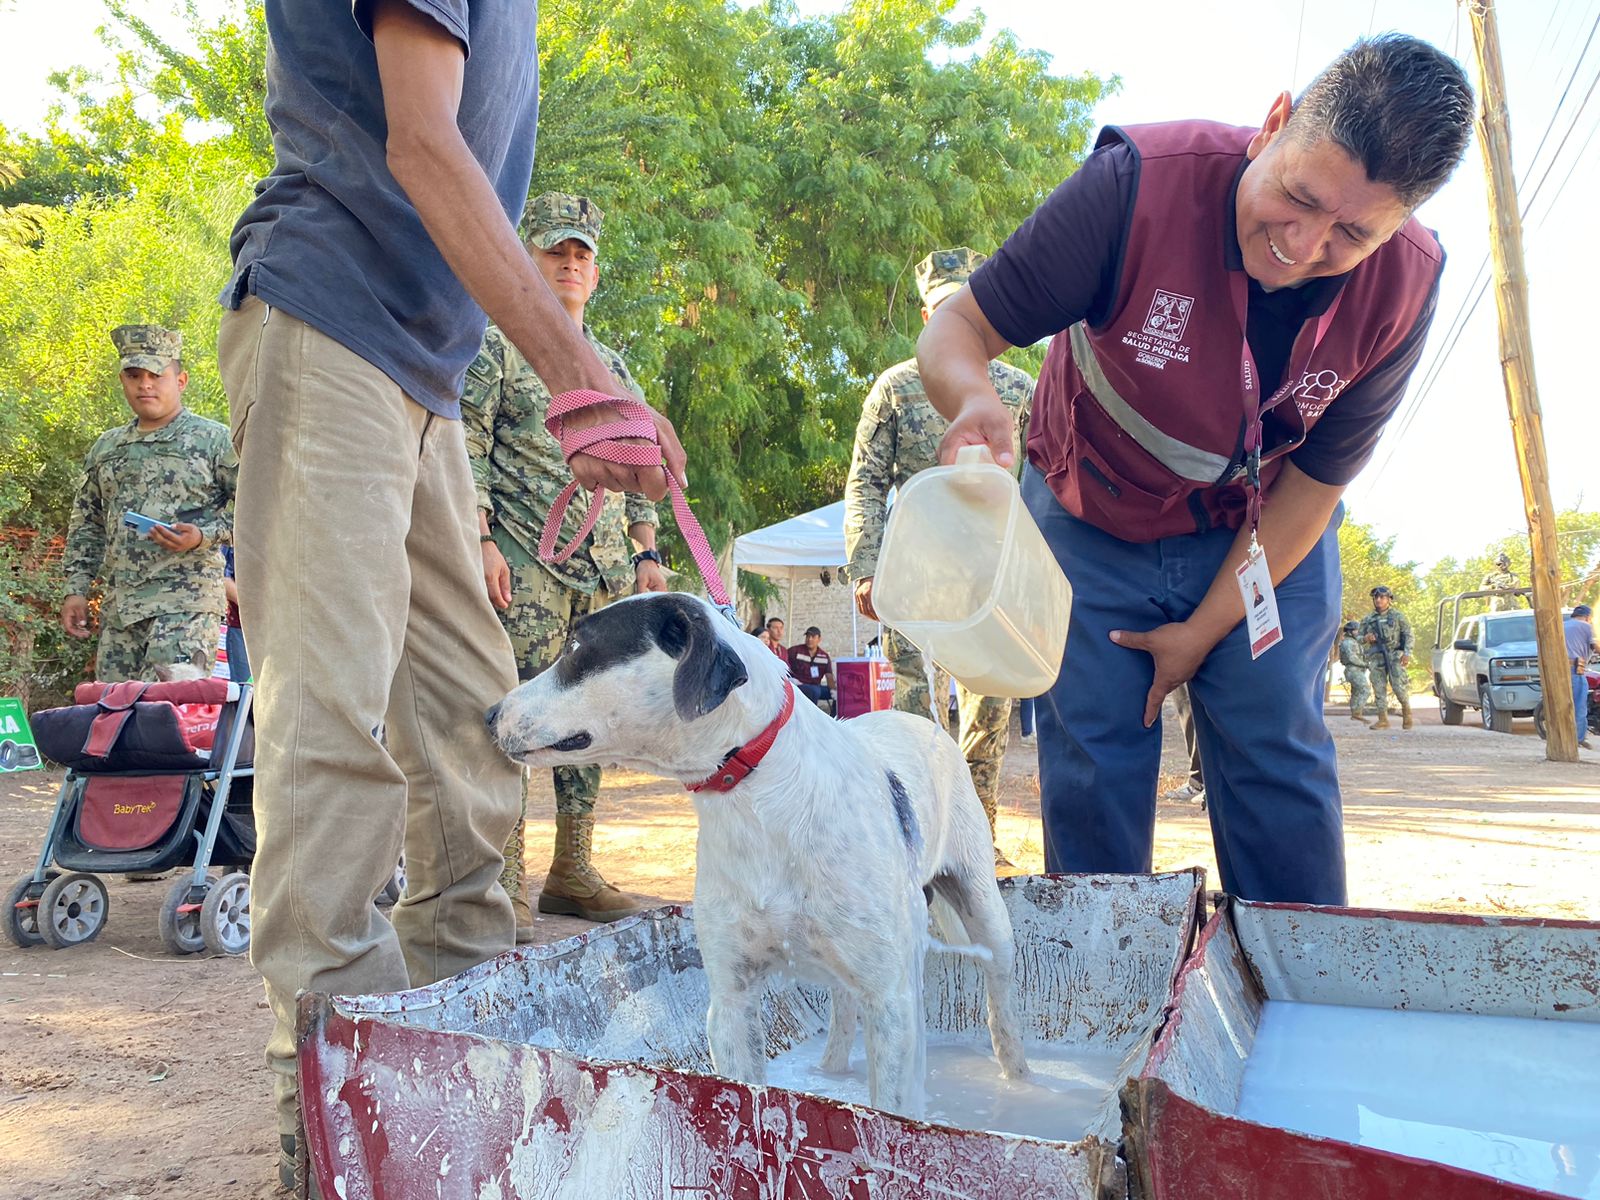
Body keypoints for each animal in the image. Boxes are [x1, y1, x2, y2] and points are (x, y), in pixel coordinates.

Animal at [486, 598, 1030, 1126]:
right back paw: (830, 1070)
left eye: (576, 647)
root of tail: (918, 720)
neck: (759, 795)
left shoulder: (890, 999)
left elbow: (895, 1114)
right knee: (844, 1008)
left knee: (1001, 1009)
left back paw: (1020, 1080)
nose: (489, 713)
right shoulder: (732, 999)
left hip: (984, 916)